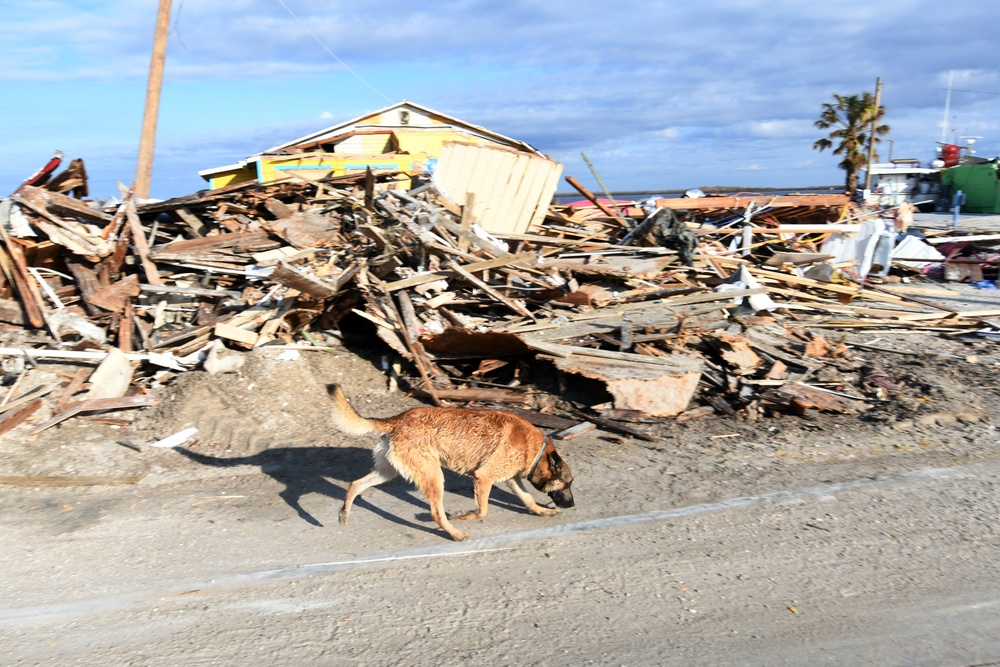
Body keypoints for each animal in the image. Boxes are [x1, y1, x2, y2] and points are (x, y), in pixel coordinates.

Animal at [332, 388, 576, 540]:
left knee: (355, 484)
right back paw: (455, 533)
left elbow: (527, 499)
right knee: (436, 513)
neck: (536, 449)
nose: (573, 505)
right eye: (568, 483)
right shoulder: (483, 478)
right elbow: (482, 511)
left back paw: (344, 513)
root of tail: (399, 419)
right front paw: (464, 516)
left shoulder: (511, 479)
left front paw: (542, 511)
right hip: (434, 477)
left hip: (387, 472)